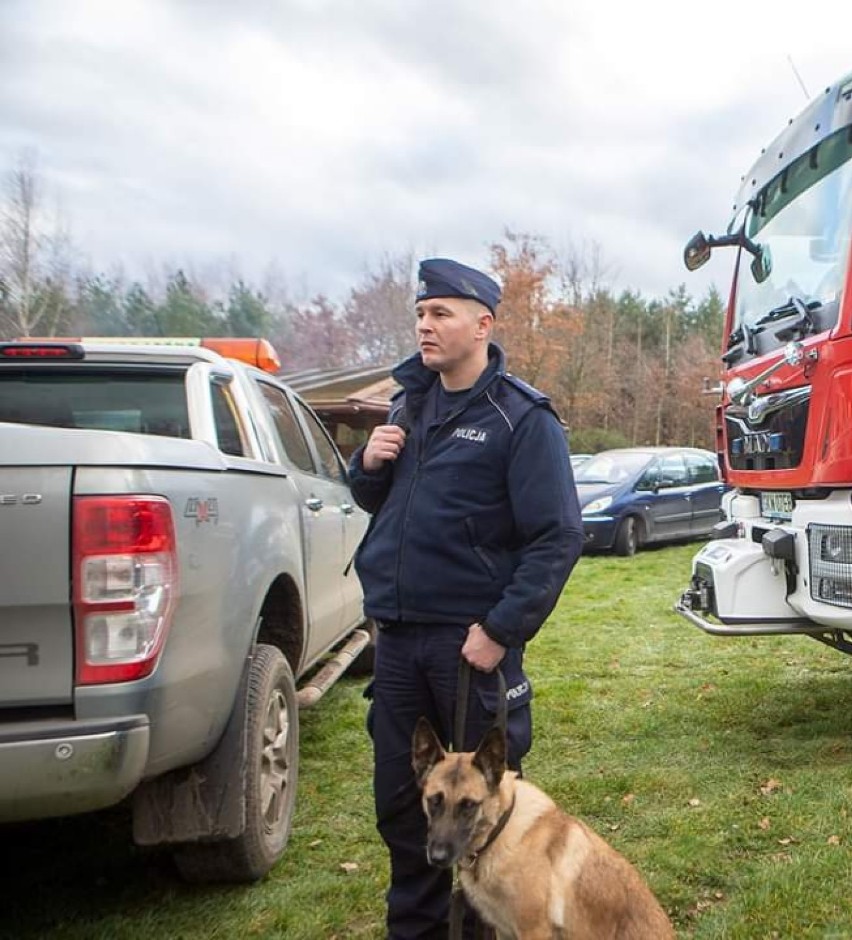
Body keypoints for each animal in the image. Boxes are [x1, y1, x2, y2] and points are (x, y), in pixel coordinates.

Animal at [410, 716, 676, 936]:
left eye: (468, 805)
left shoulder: (533, 930)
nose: (437, 857)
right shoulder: (504, 930)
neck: (500, 832)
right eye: (434, 800)